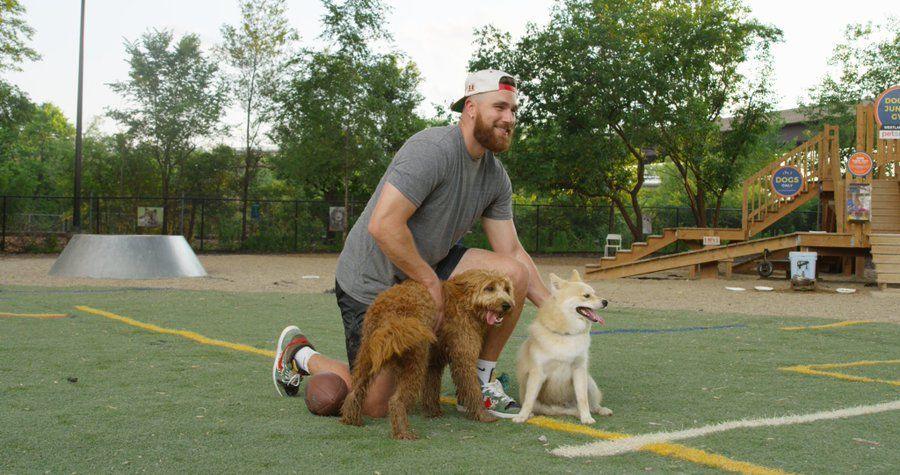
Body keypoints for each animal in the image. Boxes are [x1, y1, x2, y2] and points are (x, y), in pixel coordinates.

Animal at [342, 270, 516, 440]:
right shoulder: (464, 357)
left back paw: (351, 419)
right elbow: (473, 389)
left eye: (506, 289)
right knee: (396, 401)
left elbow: (432, 388)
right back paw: (403, 433)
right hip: (415, 362)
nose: (507, 305)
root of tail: (390, 314)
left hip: (367, 356)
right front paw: (482, 415)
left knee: (355, 391)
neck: (465, 302)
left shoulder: (434, 361)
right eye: (489, 288)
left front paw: (434, 412)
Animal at [512, 270, 612, 426]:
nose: (605, 302)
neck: (566, 335)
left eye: (595, 293)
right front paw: (522, 416)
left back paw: (601, 410)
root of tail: (562, 407)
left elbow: (583, 399)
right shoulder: (537, 373)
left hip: (589, 382)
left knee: (592, 404)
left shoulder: (579, 370)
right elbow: (529, 399)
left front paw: (586, 417)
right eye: (586, 295)